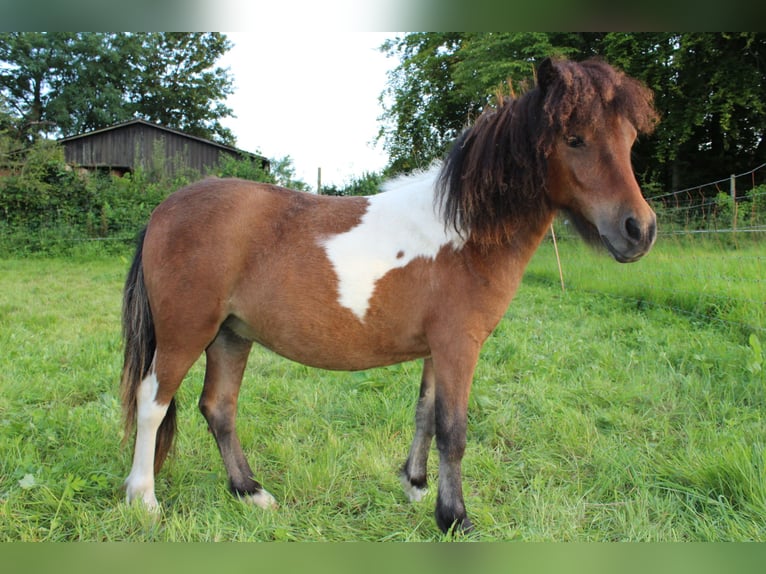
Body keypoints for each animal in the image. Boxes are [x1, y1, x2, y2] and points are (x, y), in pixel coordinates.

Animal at [120, 57, 658, 534]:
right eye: (574, 138)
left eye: (629, 139)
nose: (640, 230)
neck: (464, 232)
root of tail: (163, 209)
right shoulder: (459, 346)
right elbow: (454, 431)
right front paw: (455, 519)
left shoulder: (436, 350)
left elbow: (425, 414)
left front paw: (416, 487)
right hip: (187, 334)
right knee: (153, 402)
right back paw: (144, 501)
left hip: (231, 335)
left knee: (219, 407)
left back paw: (250, 492)